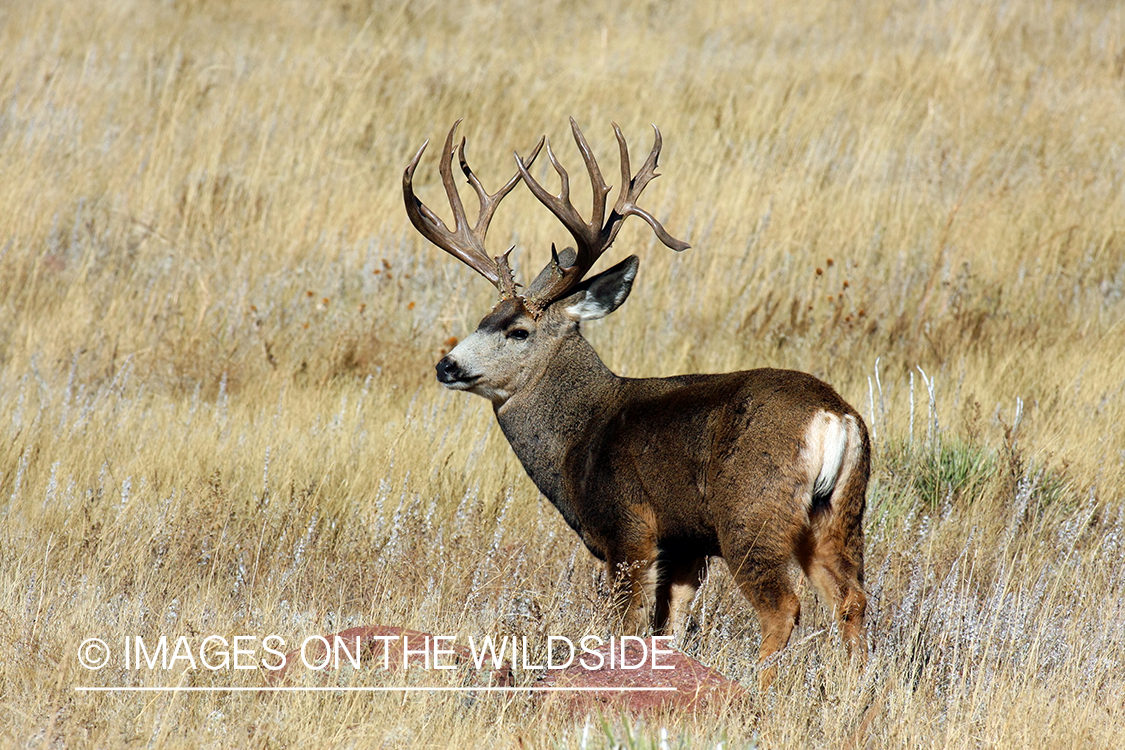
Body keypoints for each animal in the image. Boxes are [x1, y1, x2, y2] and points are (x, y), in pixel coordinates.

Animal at [402, 118, 868, 692]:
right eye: (484, 316)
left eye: (518, 330)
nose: (446, 366)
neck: (580, 436)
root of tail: (835, 417)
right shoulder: (684, 545)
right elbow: (668, 630)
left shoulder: (628, 528)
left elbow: (625, 626)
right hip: (840, 515)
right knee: (851, 599)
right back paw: (858, 690)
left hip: (750, 512)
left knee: (783, 607)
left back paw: (758, 690)